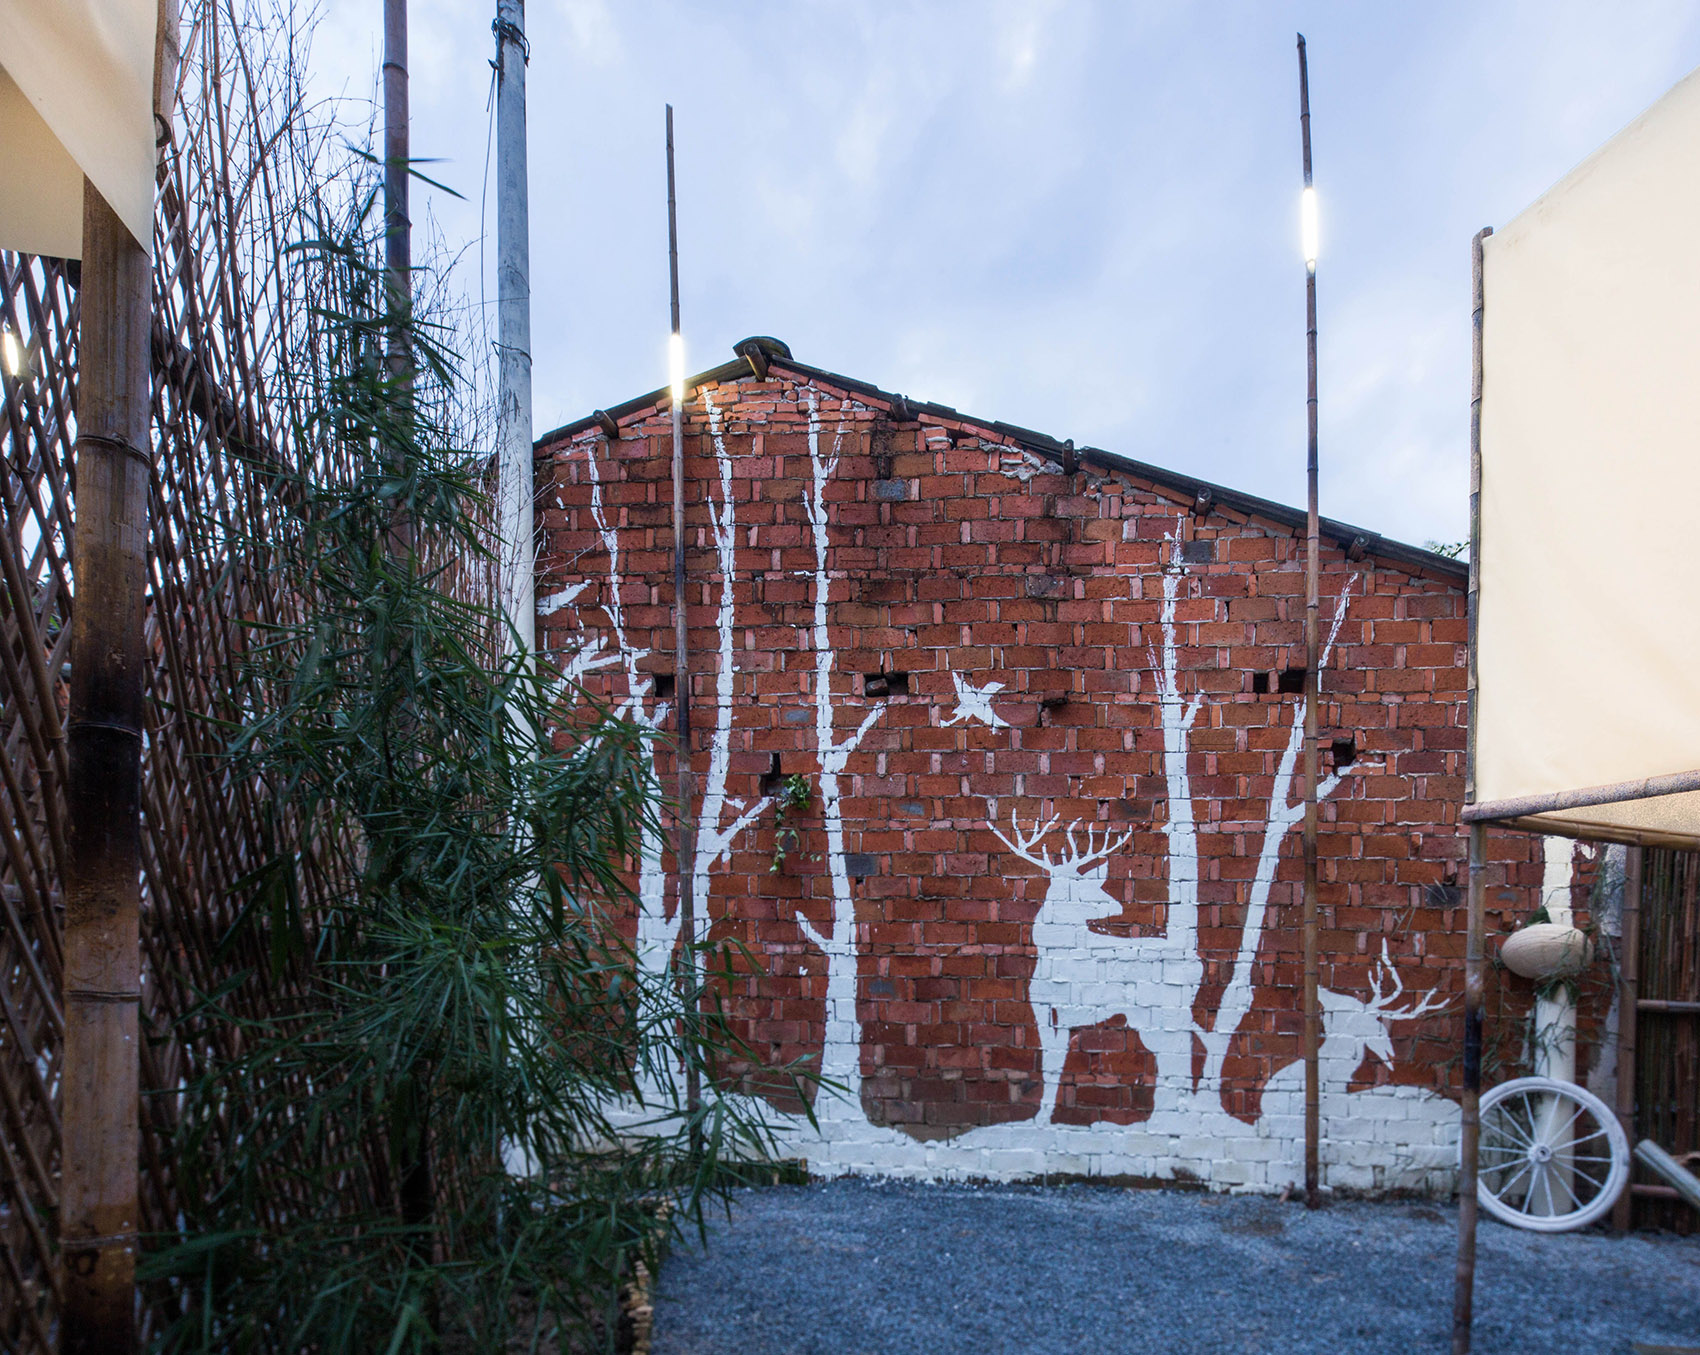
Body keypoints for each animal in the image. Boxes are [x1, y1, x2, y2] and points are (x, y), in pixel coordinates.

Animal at [992, 812, 1203, 1122]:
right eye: (1078, 886)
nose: (1117, 906)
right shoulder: (1044, 1011)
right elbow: (1050, 1063)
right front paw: (1041, 1117)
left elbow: (1054, 1064)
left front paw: (1043, 1118)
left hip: (1163, 1013)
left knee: (1179, 1052)